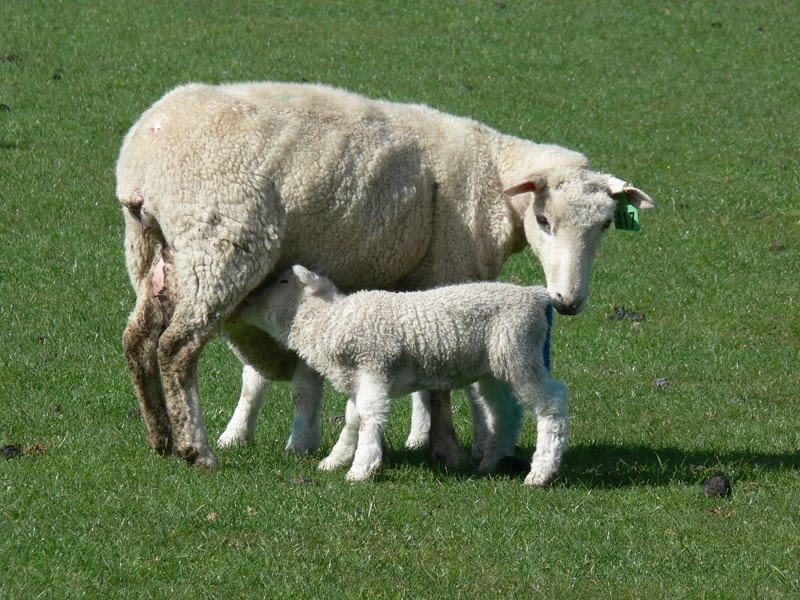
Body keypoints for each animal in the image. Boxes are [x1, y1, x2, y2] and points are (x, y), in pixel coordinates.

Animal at [239, 265, 568, 484]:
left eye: (283, 281)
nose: (246, 301)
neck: (331, 321)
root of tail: (535, 295)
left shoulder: (374, 366)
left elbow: (369, 416)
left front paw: (361, 468)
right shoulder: (359, 378)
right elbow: (352, 418)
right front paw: (335, 459)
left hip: (520, 351)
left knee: (552, 402)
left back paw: (542, 471)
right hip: (494, 368)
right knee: (505, 411)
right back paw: (491, 461)